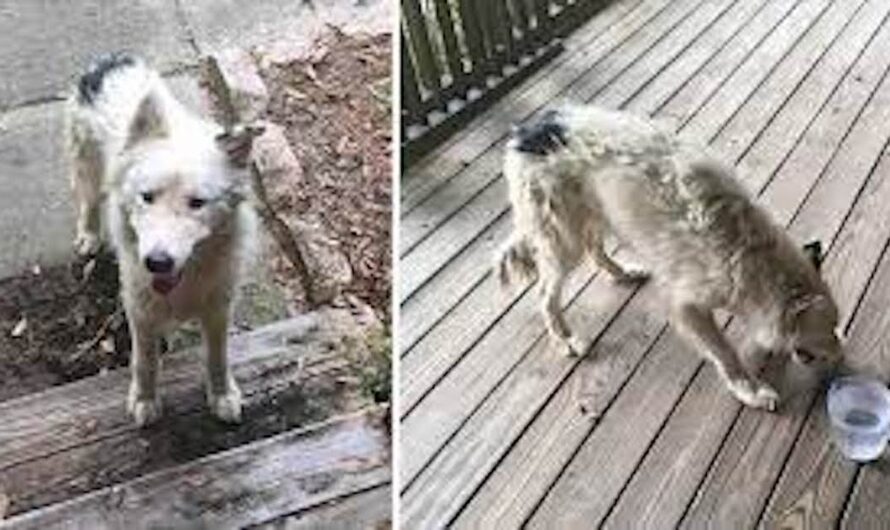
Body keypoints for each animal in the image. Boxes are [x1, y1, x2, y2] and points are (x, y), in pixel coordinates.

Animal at [66, 54, 262, 424]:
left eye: (197, 203)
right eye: (147, 197)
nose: (157, 262)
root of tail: (113, 60)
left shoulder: (218, 306)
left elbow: (218, 355)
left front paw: (222, 394)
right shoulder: (138, 307)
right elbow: (145, 361)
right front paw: (145, 400)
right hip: (87, 166)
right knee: (89, 201)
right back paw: (88, 236)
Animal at [496, 104, 844, 408]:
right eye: (829, 330)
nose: (842, 357)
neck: (752, 254)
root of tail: (524, 133)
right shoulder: (687, 307)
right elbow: (725, 352)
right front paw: (750, 390)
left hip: (594, 214)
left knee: (595, 251)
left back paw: (624, 273)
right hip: (563, 237)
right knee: (546, 294)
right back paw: (566, 339)